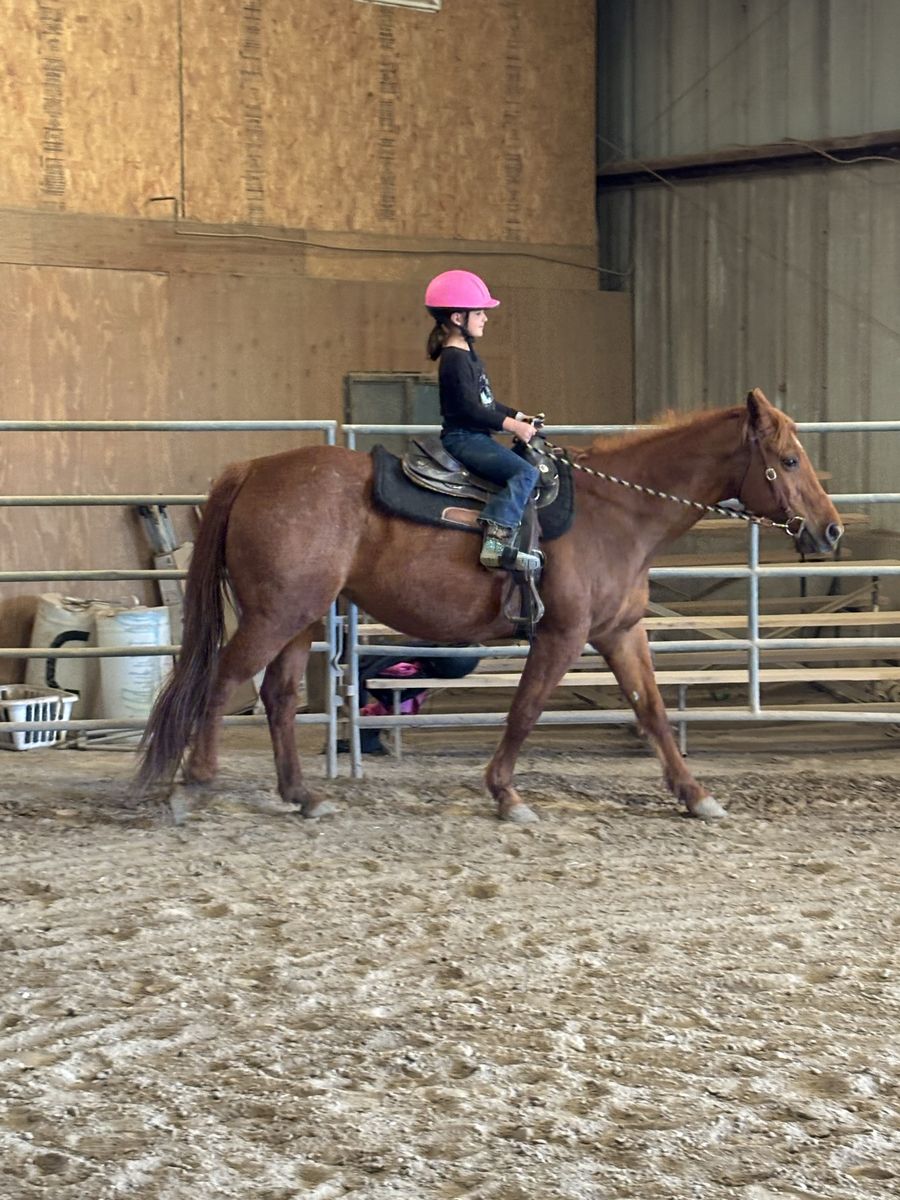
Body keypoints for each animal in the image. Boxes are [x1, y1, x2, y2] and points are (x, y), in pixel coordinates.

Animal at [135, 389, 842, 824]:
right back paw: (195, 784)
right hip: (273, 615)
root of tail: (253, 469)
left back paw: (302, 795)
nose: (830, 531)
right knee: (224, 680)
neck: (618, 512)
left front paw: (696, 796)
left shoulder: (620, 633)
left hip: (300, 618)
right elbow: (525, 711)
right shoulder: (563, 634)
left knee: (277, 697)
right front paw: (506, 795)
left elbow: (654, 713)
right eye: (788, 459)